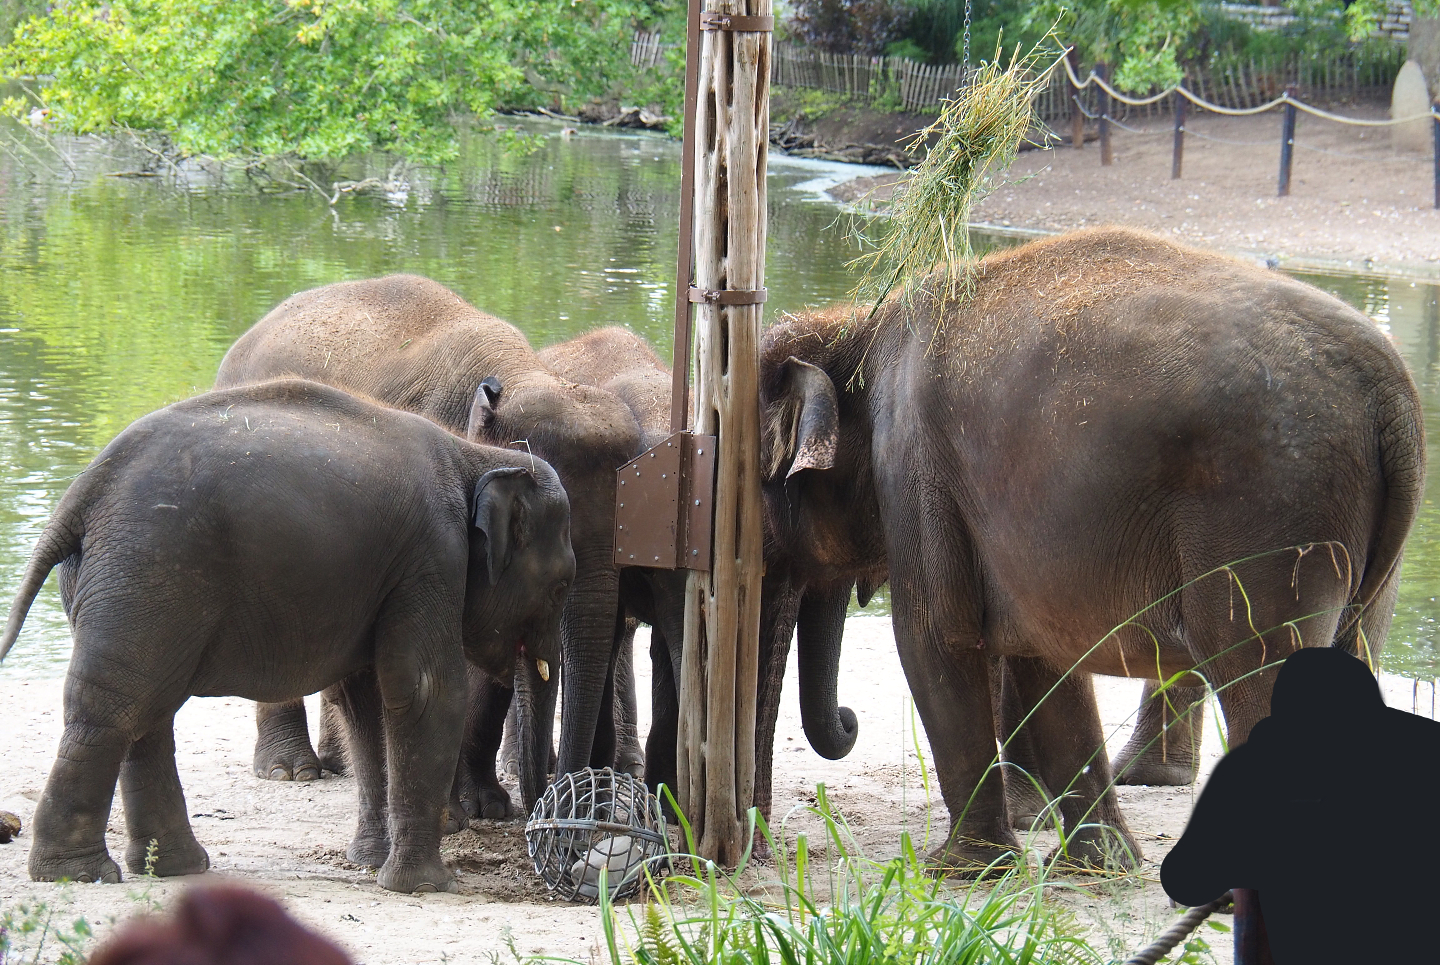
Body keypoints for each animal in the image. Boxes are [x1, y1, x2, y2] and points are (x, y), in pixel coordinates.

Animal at [0, 379, 574, 893]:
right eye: (561, 585)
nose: (539, 823)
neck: (475, 455)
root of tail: (81, 492)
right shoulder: (431, 557)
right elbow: (425, 692)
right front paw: (424, 886)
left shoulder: (388, 576)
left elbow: (364, 701)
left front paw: (371, 864)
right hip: (148, 574)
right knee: (117, 707)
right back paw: (79, 874)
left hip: (120, 584)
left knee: (146, 710)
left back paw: (172, 869)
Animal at [215, 275, 645, 812]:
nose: (549, 799)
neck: (523, 374)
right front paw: (466, 810)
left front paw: (487, 806)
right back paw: (290, 770)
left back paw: (337, 765)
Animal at [756, 227, 1424, 873]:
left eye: (767, 489)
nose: (850, 720)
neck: (860, 325)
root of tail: (1391, 394)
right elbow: (1044, 665)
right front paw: (1100, 866)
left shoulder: (917, 470)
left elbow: (932, 639)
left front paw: (959, 870)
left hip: (1269, 508)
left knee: (1254, 667)